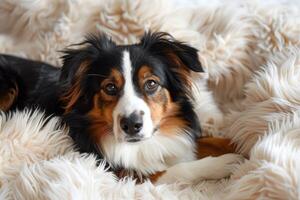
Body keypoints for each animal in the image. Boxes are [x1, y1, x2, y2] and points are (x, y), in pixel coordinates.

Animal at [0, 32, 241, 184]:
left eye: (151, 83)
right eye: (110, 87)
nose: (132, 125)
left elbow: (211, 140)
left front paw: (242, 145)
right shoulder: (118, 171)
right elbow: (170, 171)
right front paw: (223, 164)